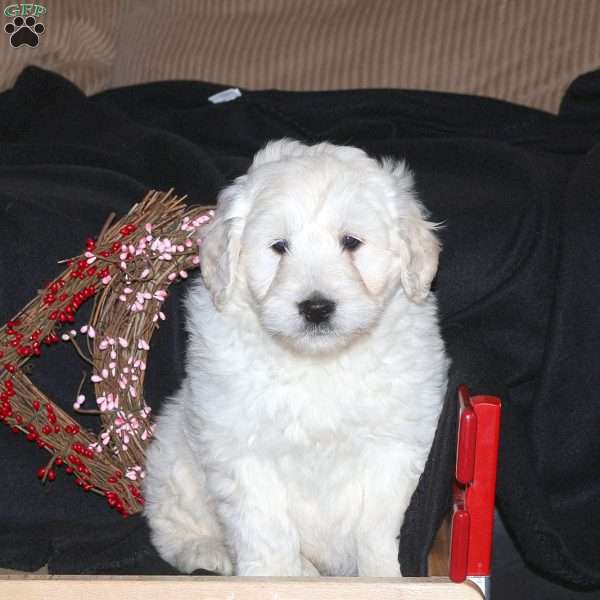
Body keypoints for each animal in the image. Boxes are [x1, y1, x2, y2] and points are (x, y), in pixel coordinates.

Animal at [143, 137, 448, 576]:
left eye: (351, 242)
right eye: (279, 247)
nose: (316, 308)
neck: (318, 362)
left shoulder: (395, 446)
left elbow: (376, 527)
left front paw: (383, 576)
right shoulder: (241, 449)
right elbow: (266, 531)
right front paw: (279, 577)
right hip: (172, 453)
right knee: (172, 522)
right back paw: (208, 552)